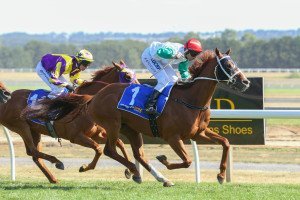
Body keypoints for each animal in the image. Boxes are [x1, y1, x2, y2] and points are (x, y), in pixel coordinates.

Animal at [0, 60, 138, 183]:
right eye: (127, 76)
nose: (138, 86)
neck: (86, 104)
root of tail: (6, 101)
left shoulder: (96, 134)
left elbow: (119, 143)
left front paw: (129, 171)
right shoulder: (75, 136)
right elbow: (98, 149)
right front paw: (85, 167)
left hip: (34, 130)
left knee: (34, 155)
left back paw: (53, 179)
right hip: (21, 127)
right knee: (33, 151)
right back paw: (57, 162)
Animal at [24, 48, 251, 186]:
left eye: (234, 63)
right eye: (227, 65)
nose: (245, 82)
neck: (189, 99)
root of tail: (95, 96)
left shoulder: (198, 133)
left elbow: (225, 142)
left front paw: (220, 175)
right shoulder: (173, 137)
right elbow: (186, 160)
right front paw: (164, 159)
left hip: (130, 128)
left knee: (137, 154)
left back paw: (157, 177)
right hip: (112, 124)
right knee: (109, 149)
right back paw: (134, 170)